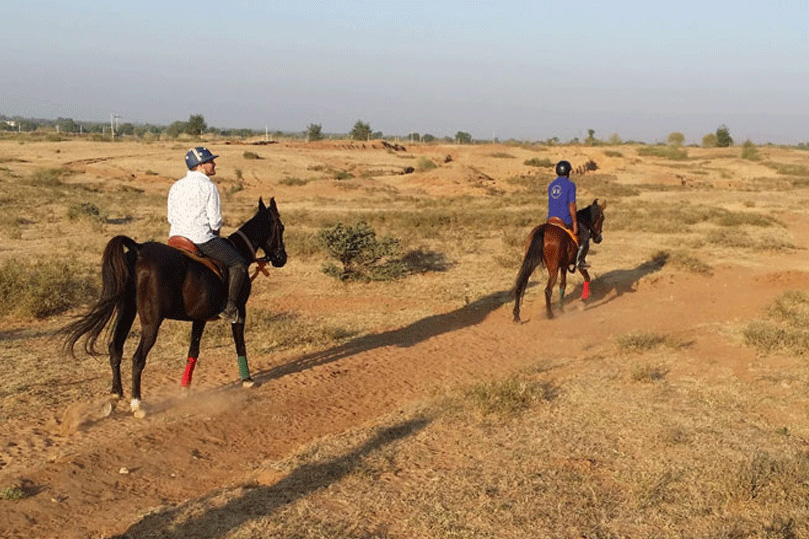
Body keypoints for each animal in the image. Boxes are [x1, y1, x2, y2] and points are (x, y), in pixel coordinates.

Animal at [61, 197, 286, 418]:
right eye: (281, 227)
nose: (282, 258)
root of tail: (137, 250)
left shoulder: (200, 318)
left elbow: (193, 350)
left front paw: (185, 388)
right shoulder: (239, 311)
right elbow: (240, 343)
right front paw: (247, 380)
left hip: (127, 312)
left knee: (115, 349)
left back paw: (114, 398)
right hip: (151, 321)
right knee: (137, 358)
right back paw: (137, 404)